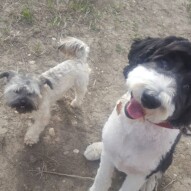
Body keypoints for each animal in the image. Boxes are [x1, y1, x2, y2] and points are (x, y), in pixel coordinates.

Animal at [85, 36, 191, 191]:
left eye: (187, 87)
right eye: (164, 62)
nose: (150, 99)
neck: (138, 126)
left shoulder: (139, 175)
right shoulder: (109, 157)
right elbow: (101, 179)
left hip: (168, 158)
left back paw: (149, 183)